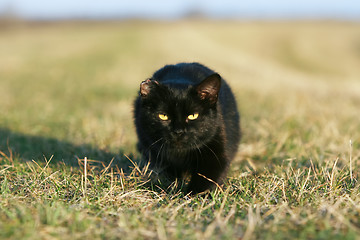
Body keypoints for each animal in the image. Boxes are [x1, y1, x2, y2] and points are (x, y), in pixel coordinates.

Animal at [134, 62, 240, 193]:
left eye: (193, 115)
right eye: (163, 116)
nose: (178, 131)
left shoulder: (216, 152)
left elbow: (207, 179)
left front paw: (195, 195)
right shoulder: (155, 151)